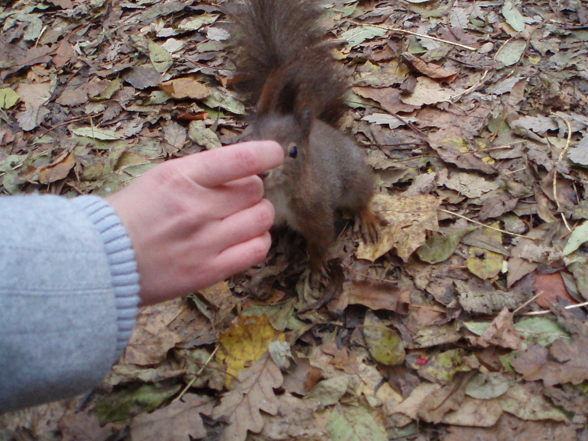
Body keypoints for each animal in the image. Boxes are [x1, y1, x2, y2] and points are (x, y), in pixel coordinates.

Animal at [227, 0, 378, 282]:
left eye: (294, 152)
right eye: (249, 140)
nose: (262, 172)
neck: (279, 193)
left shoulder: (316, 213)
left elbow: (320, 242)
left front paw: (315, 269)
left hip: (354, 176)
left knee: (362, 197)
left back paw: (367, 218)